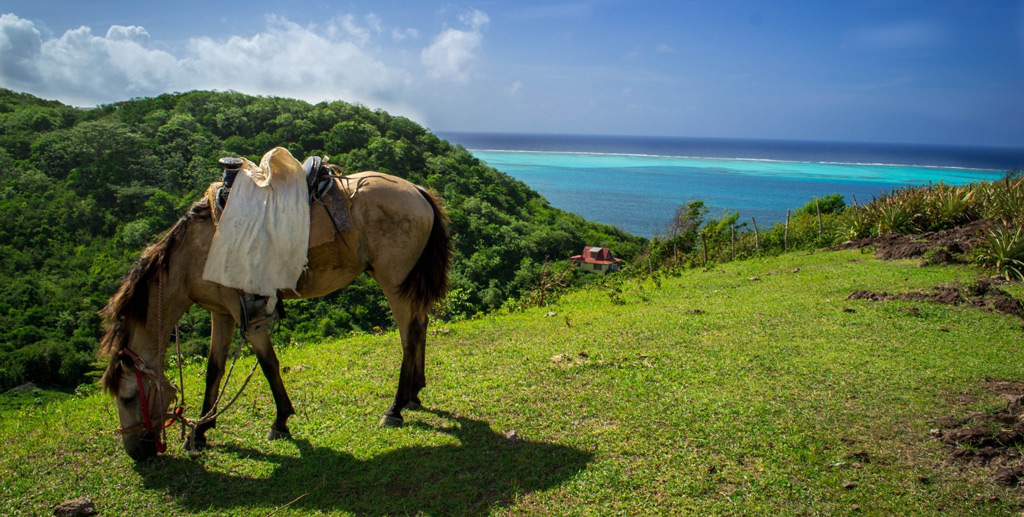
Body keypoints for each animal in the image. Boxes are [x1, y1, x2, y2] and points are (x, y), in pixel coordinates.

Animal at [99, 164, 452, 458]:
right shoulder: (221, 312)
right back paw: (415, 393)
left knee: (409, 337)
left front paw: (280, 421)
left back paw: (396, 407)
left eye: (128, 397)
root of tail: (417, 190)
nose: (136, 452)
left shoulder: (248, 313)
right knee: (421, 325)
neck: (200, 249)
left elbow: (269, 365)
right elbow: (214, 369)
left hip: (394, 283)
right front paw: (200, 431)